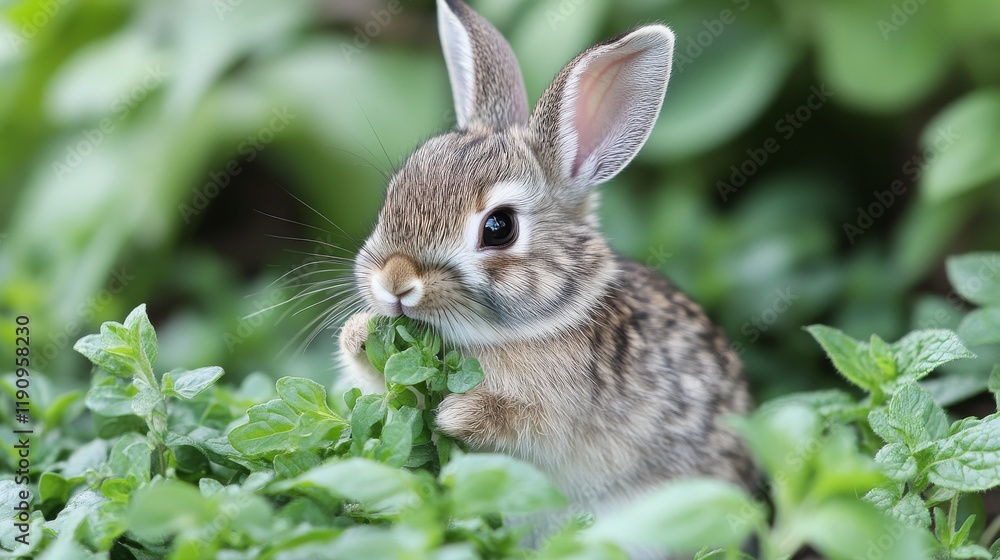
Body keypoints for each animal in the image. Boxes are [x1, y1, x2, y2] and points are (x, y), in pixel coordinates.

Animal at [338, 0, 755, 550]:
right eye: (394, 193)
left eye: (499, 227)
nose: (394, 282)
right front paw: (358, 334)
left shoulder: (563, 417)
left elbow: (528, 426)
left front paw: (457, 413)